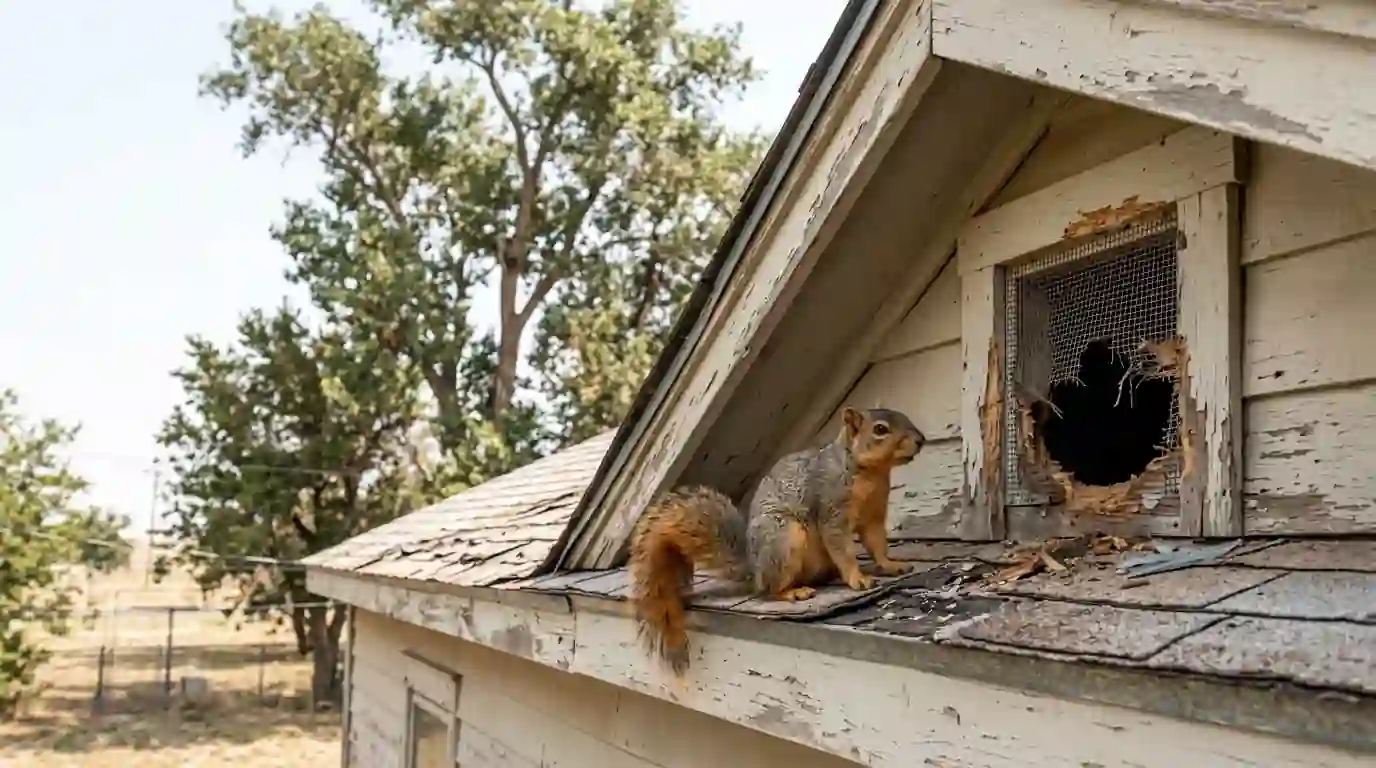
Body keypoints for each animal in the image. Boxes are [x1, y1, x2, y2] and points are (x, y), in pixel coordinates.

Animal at [629, 406, 926, 673]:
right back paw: (793, 592)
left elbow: (877, 544)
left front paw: (892, 565)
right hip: (785, 540)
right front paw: (858, 578)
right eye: (880, 429)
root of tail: (754, 570)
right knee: (769, 590)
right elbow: (841, 547)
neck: (869, 473)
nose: (921, 439)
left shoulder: (874, 515)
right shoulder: (832, 511)